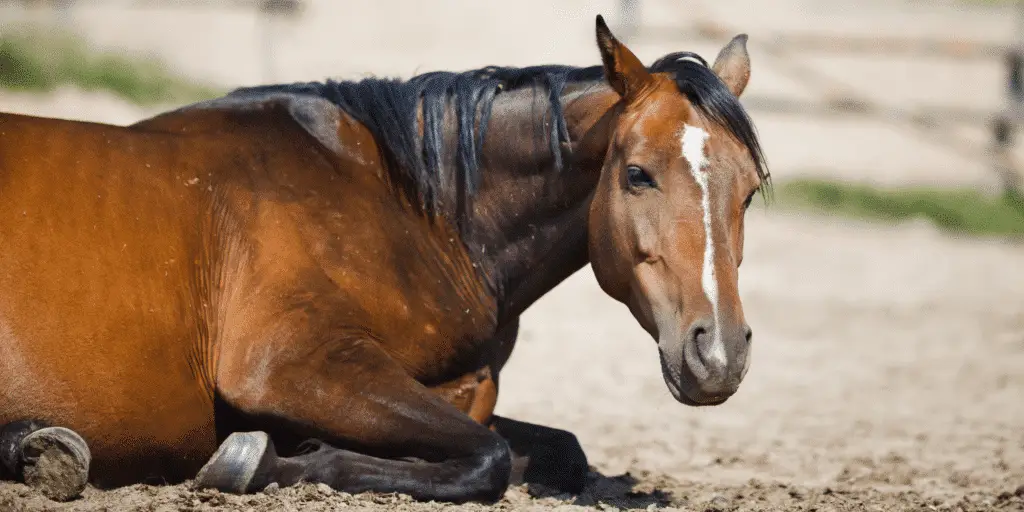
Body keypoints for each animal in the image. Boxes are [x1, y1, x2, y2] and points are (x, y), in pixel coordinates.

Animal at [0, 14, 770, 503]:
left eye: (748, 191)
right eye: (637, 174)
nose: (719, 356)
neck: (411, 211)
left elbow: (556, 448)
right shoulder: (293, 364)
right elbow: (486, 458)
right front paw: (263, 460)